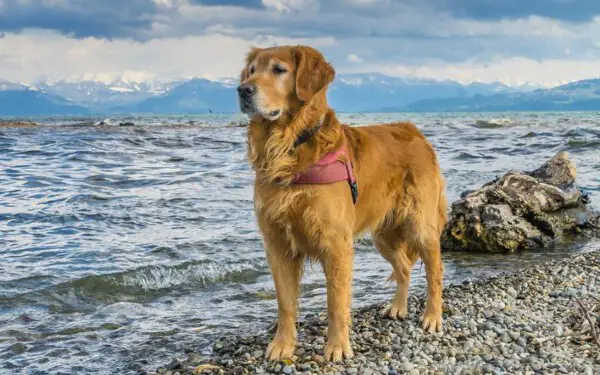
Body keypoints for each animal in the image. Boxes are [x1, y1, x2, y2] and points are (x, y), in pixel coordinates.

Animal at [238, 45, 446, 362]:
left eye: (279, 70)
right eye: (251, 71)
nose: (242, 90)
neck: (291, 146)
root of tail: (416, 133)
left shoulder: (336, 244)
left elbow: (336, 303)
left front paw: (337, 347)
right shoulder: (277, 245)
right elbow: (285, 303)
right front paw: (282, 345)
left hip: (420, 224)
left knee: (435, 270)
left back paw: (432, 316)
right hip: (382, 235)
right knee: (404, 268)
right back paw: (398, 307)